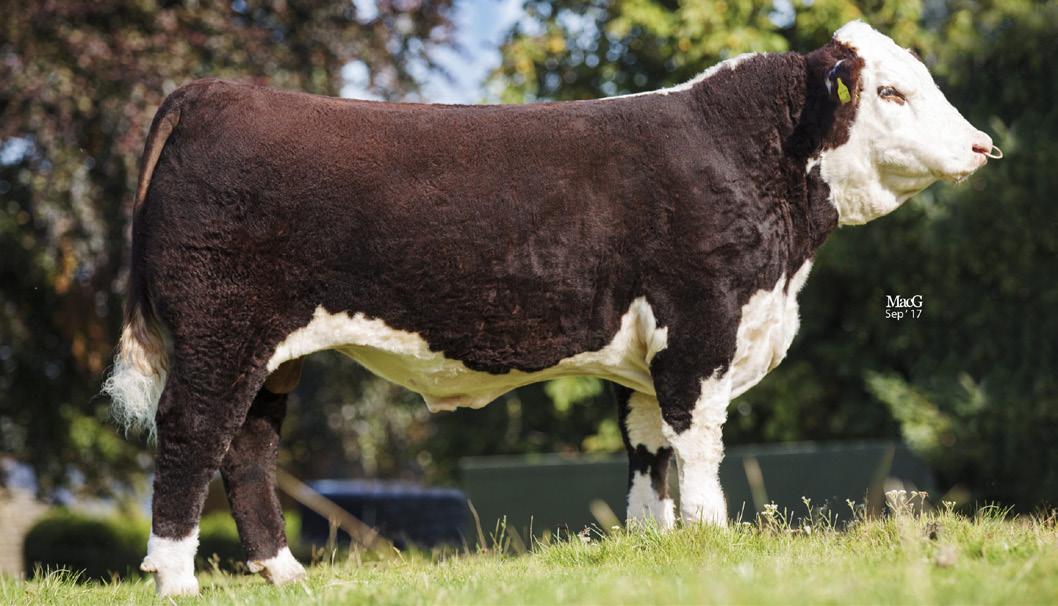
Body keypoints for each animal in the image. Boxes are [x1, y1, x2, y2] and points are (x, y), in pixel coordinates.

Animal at [103, 21, 998, 595]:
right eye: (892, 92)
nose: (984, 145)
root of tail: (214, 91)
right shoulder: (700, 330)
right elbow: (699, 447)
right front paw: (714, 541)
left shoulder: (648, 355)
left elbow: (646, 448)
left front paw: (652, 545)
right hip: (221, 329)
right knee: (192, 432)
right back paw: (175, 576)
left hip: (271, 354)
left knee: (247, 447)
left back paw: (283, 572)